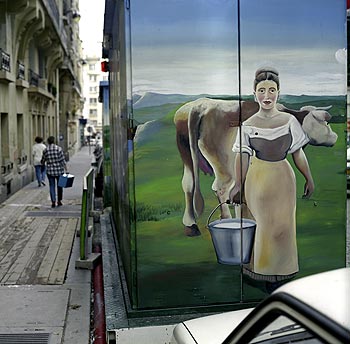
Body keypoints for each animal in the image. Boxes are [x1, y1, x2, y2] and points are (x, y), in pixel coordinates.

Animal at [175, 98, 340, 235]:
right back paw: (227, 219)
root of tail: (201, 105)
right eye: (326, 123)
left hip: (187, 154)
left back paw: (190, 225)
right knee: (221, 188)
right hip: (224, 164)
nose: (335, 137)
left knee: (188, 184)